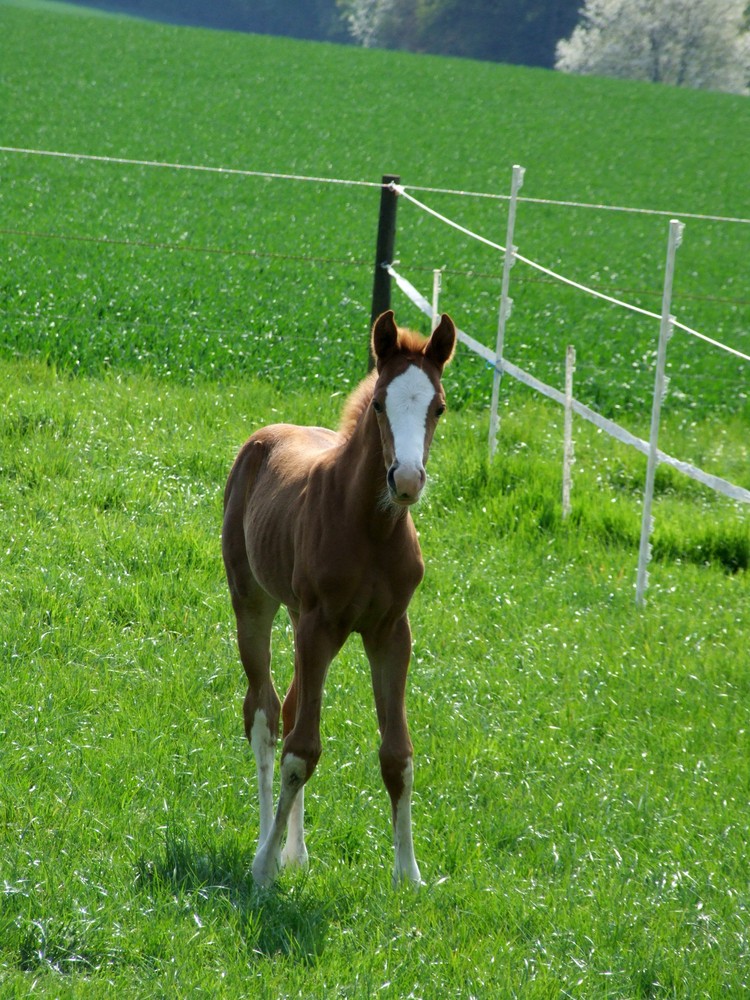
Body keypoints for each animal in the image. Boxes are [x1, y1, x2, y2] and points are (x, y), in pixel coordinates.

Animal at [222, 310, 458, 884]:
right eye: (379, 403)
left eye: (439, 406)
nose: (407, 480)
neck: (370, 529)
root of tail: (263, 436)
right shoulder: (319, 625)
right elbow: (300, 752)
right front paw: (263, 868)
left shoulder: (391, 632)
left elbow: (397, 754)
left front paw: (409, 875)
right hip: (255, 604)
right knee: (264, 716)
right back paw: (267, 843)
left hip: (296, 616)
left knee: (286, 709)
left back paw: (297, 851)